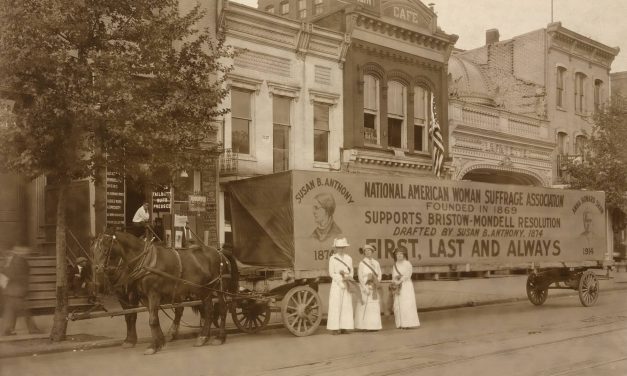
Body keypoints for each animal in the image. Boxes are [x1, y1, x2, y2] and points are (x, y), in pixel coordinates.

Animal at [93, 229, 238, 356]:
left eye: (105, 250)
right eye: (94, 249)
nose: (96, 269)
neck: (145, 261)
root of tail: (221, 253)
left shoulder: (153, 294)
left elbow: (151, 320)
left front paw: (152, 346)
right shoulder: (144, 297)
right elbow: (152, 319)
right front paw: (159, 342)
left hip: (219, 288)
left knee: (222, 309)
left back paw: (220, 337)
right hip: (205, 290)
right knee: (208, 311)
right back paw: (202, 338)